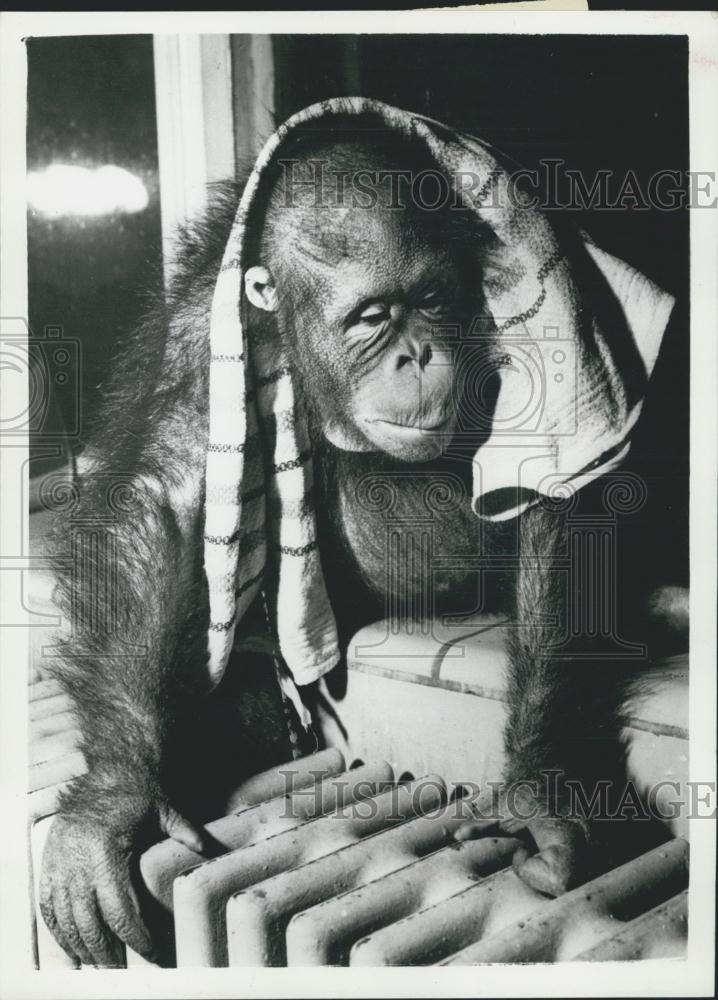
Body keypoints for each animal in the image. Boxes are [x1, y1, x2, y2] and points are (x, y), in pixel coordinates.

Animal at [38, 116, 688, 967]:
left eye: (433, 300)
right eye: (373, 318)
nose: (418, 354)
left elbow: (557, 484)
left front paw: (541, 794)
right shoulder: (203, 335)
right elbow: (167, 494)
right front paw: (112, 807)